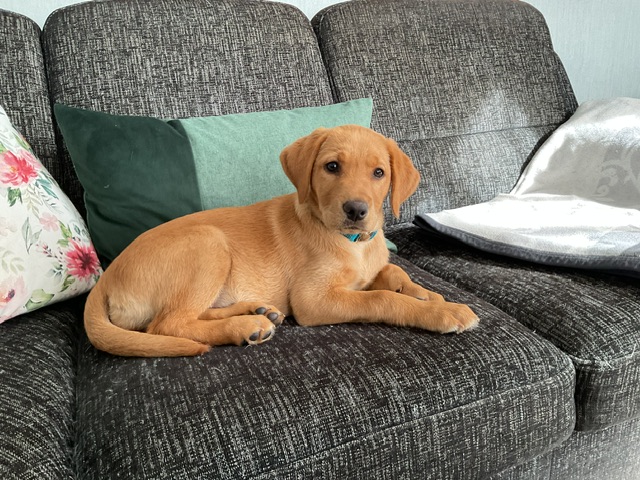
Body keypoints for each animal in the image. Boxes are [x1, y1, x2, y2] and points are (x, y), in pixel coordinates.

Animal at [84, 125, 478, 357]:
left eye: (379, 173)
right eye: (332, 167)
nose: (356, 210)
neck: (353, 242)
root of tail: (104, 279)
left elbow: (393, 274)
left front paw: (426, 294)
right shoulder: (313, 300)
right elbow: (380, 298)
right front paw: (442, 310)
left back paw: (257, 310)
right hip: (207, 243)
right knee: (167, 324)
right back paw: (247, 326)